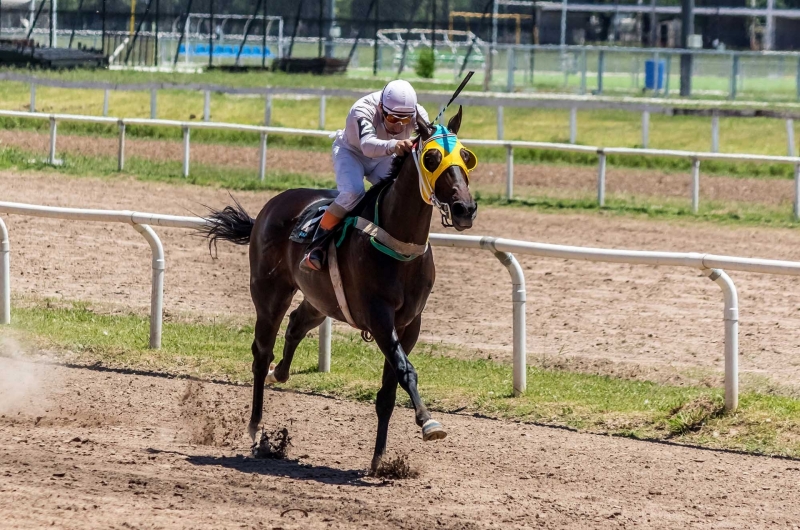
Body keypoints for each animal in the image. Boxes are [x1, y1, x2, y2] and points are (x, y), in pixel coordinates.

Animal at [202, 107, 476, 470]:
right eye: (431, 158)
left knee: (296, 324)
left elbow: (389, 389)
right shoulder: (378, 317)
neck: (397, 242)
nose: (465, 209)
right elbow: (406, 370)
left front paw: (379, 459)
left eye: (467, 157)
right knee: (261, 352)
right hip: (269, 292)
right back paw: (256, 428)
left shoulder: (409, 323)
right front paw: (428, 422)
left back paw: (280, 374)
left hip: (321, 301)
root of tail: (271, 205)